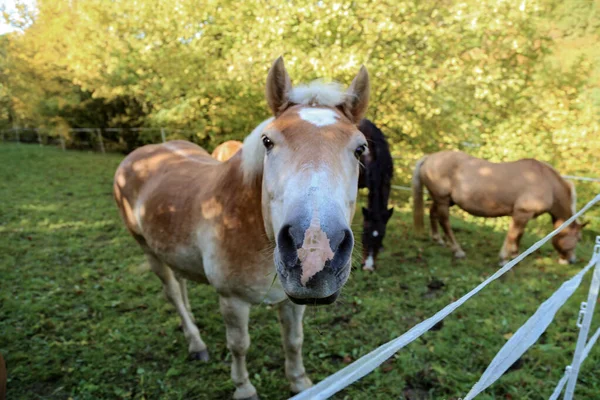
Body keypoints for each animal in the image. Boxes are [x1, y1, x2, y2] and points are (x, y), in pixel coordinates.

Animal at [110, 57, 368, 400]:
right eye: (268, 141)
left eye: (360, 149)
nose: (314, 254)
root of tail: (140, 154)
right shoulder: (232, 300)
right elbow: (239, 346)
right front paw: (244, 388)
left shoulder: (292, 300)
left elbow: (294, 341)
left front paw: (301, 383)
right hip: (147, 250)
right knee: (172, 293)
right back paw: (195, 343)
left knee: (180, 284)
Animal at [412, 150, 584, 266]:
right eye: (577, 239)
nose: (571, 260)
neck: (547, 183)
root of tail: (430, 158)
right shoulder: (521, 214)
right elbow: (513, 235)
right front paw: (504, 259)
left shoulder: (524, 215)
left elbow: (519, 234)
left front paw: (515, 255)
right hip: (442, 200)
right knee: (445, 222)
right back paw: (457, 251)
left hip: (444, 201)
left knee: (432, 213)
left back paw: (437, 239)